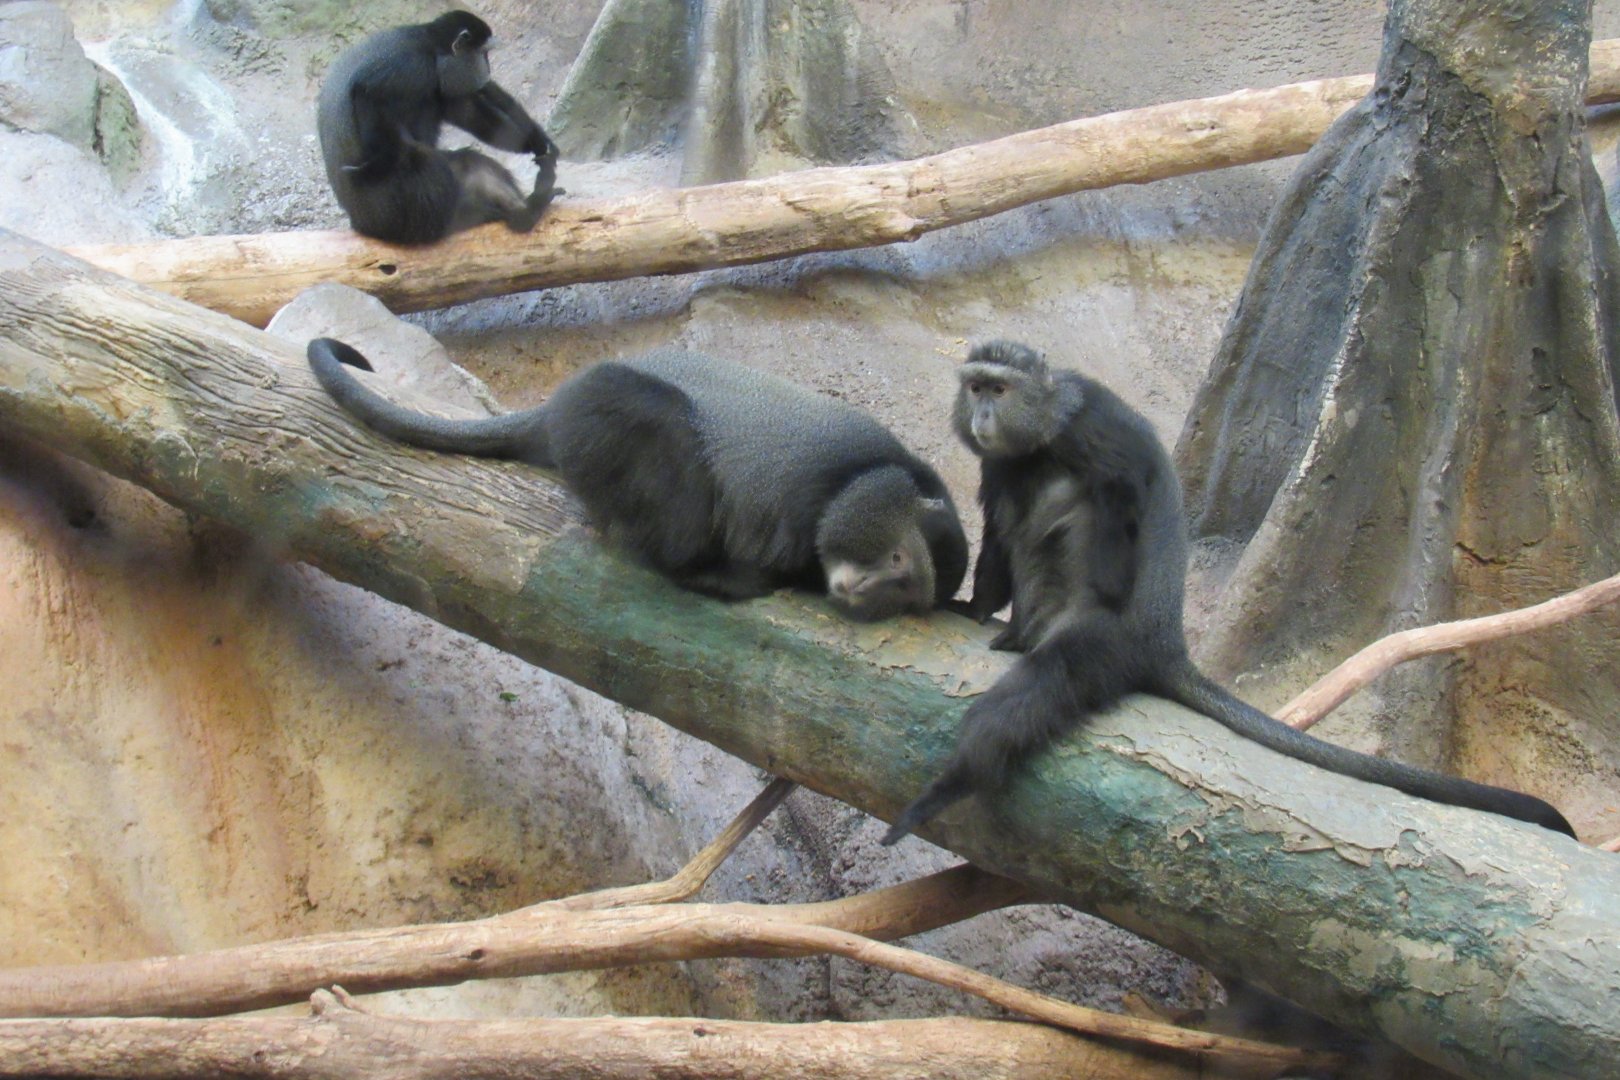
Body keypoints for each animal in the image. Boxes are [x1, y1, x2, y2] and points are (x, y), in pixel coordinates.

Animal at [307, 338, 969, 622]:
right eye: (896, 560)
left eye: (906, 588)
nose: (867, 589)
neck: (870, 478)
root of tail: (554, 408)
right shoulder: (815, 499)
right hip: (601, 414)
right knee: (665, 430)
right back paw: (703, 570)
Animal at [317, 11, 560, 244]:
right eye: (484, 53)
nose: (487, 69)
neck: (432, 48)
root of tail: (361, 224)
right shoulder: (412, 65)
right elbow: (366, 93)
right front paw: (374, 166)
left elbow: (469, 113)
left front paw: (537, 142)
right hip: (398, 216)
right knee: (414, 153)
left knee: (467, 161)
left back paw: (524, 213)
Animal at [882, 341, 1575, 843]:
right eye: (975, 387)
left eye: (999, 388)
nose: (982, 413)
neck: (1042, 433)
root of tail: (1165, 644)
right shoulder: (1000, 467)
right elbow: (1000, 531)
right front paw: (973, 607)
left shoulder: (1095, 425)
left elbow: (1125, 486)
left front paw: (1108, 572)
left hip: (1101, 645)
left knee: (1024, 700)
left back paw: (944, 788)